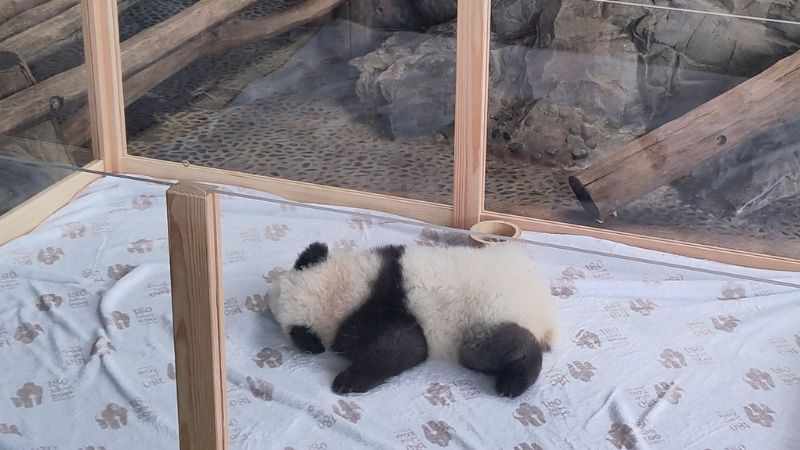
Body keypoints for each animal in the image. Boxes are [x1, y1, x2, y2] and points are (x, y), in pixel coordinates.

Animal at [266, 241, 560, 398]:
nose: (263, 304)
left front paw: (346, 381)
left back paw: (513, 382)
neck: (339, 289)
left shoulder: (380, 314)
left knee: (488, 349)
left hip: (490, 313)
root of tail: (545, 313)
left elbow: (406, 347)